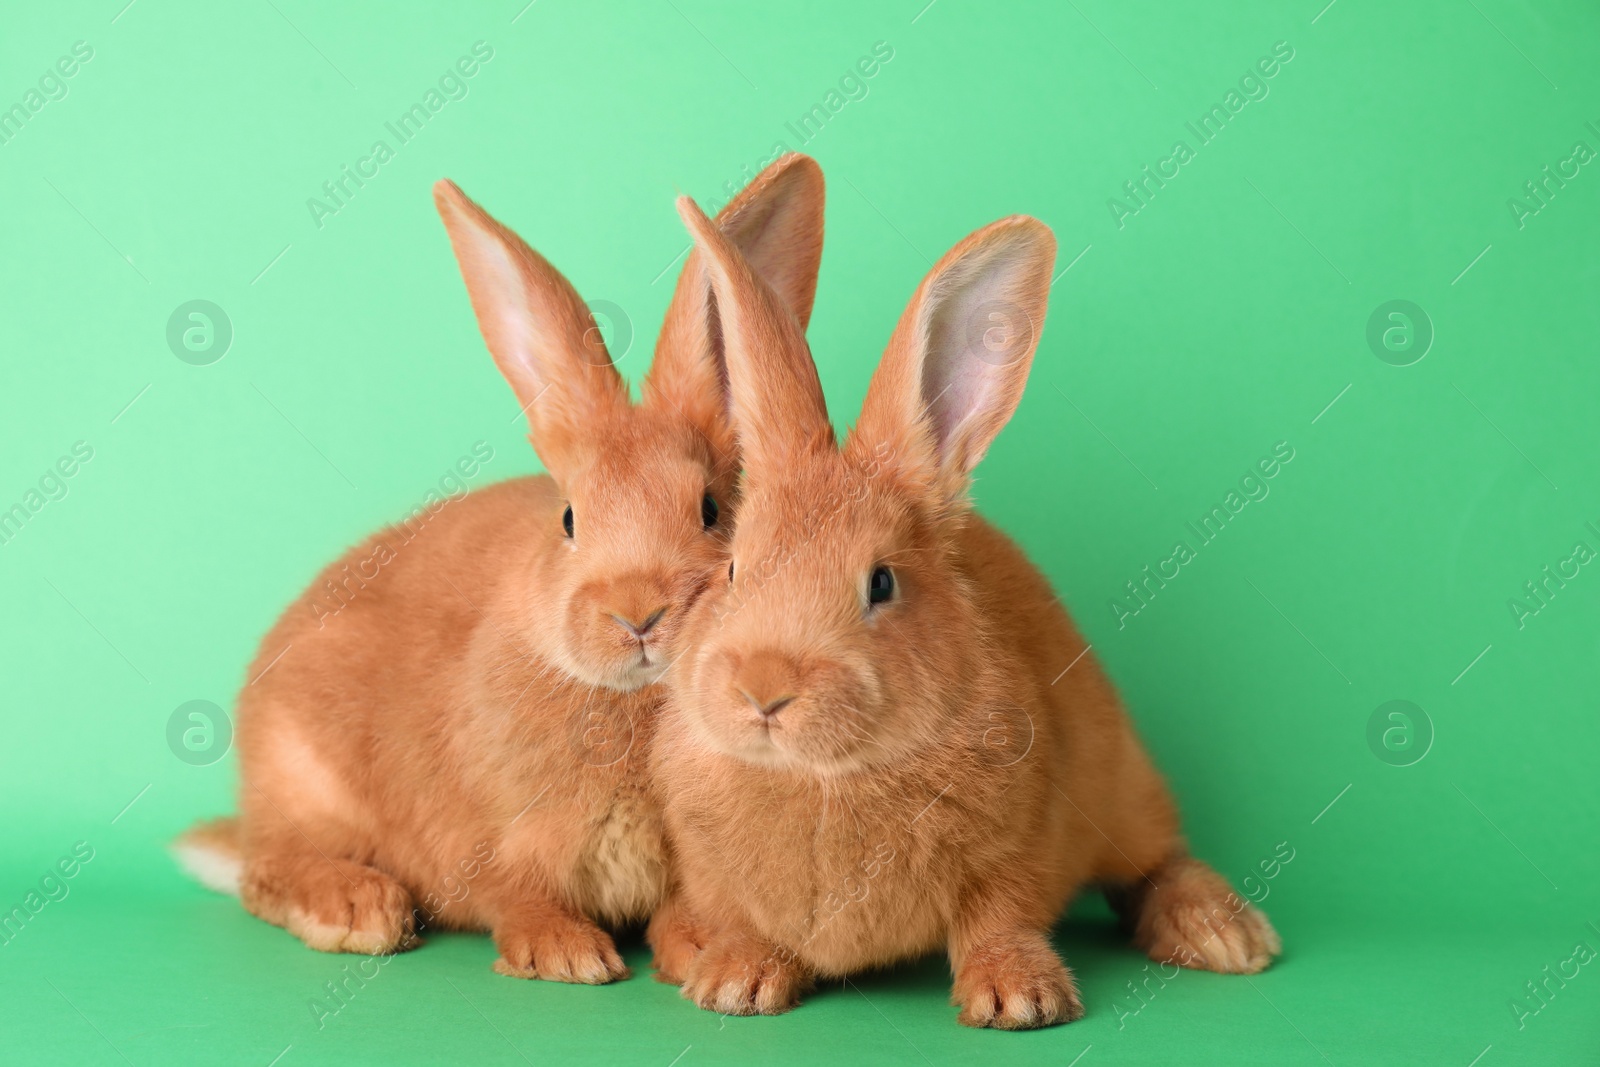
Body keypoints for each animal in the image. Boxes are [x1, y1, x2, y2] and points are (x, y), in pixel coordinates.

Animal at [173, 150, 825, 985]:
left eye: (713, 510)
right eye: (570, 518)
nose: (639, 615)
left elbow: (686, 909)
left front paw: (711, 953)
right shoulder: (492, 842)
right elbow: (516, 896)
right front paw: (566, 954)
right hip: (306, 780)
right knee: (267, 867)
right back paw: (357, 909)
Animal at [643, 198, 1280, 1023]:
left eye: (882, 582)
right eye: (732, 567)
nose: (763, 689)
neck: (824, 774)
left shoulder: (1019, 846)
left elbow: (997, 917)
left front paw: (1019, 998)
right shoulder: (710, 869)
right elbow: (741, 918)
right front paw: (733, 979)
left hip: (1123, 790)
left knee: (1155, 858)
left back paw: (1223, 933)